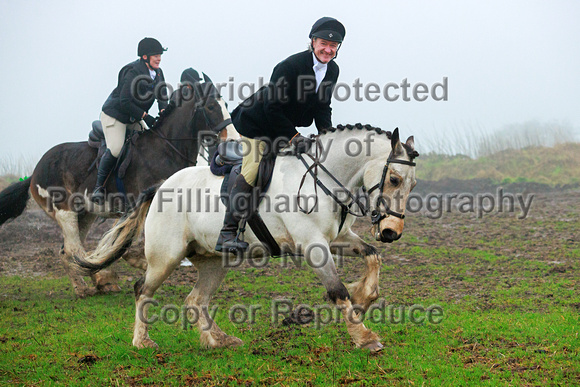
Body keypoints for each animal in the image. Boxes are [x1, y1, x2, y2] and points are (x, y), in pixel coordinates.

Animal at [0, 74, 238, 298]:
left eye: (226, 104)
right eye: (211, 106)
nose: (233, 140)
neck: (167, 148)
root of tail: (35, 171)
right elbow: (128, 243)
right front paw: (140, 263)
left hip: (84, 214)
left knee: (73, 252)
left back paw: (95, 281)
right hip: (64, 213)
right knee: (73, 249)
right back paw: (85, 288)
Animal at [72, 127, 420, 354]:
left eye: (413, 185)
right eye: (393, 179)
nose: (392, 231)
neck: (322, 177)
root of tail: (160, 187)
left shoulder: (338, 238)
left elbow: (372, 256)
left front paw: (364, 297)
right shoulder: (313, 246)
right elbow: (337, 290)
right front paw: (364, 337)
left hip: (214, 261)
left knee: (195, 300)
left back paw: (219, 340)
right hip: (165, 257)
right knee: (142, 289)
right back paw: (142, 342)